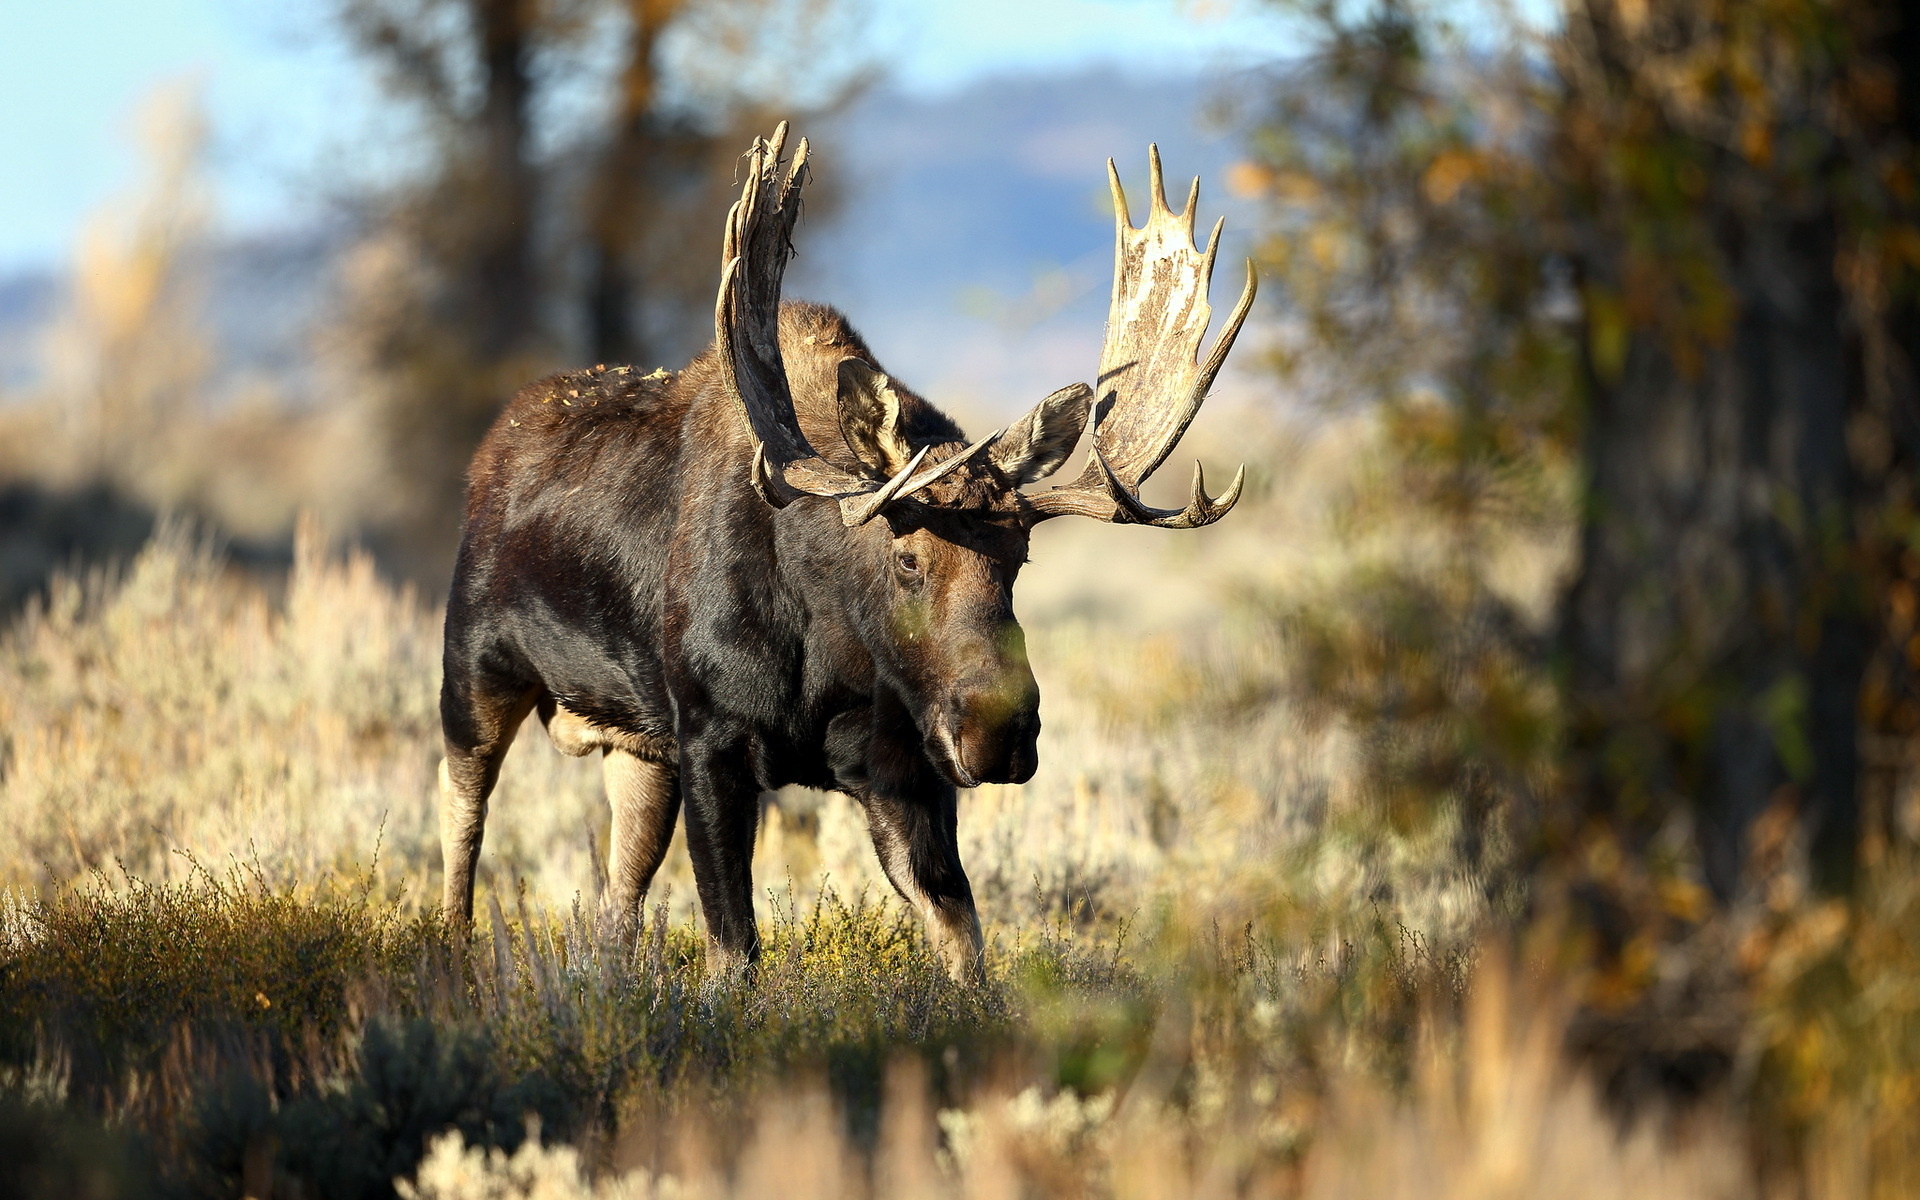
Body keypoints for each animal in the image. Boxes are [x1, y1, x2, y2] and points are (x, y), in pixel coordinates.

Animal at [435, 126, 1259, 979]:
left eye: (1020, 558)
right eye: (906, 559)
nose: (1000, 729)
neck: (822, 654)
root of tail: (493, 447)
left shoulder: (901, 768)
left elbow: (962, 938)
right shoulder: (710, 739)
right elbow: (734, 949)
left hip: (633, 741)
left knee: (619, 886)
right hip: (476, 668)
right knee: (459, 806)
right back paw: (450, 947)